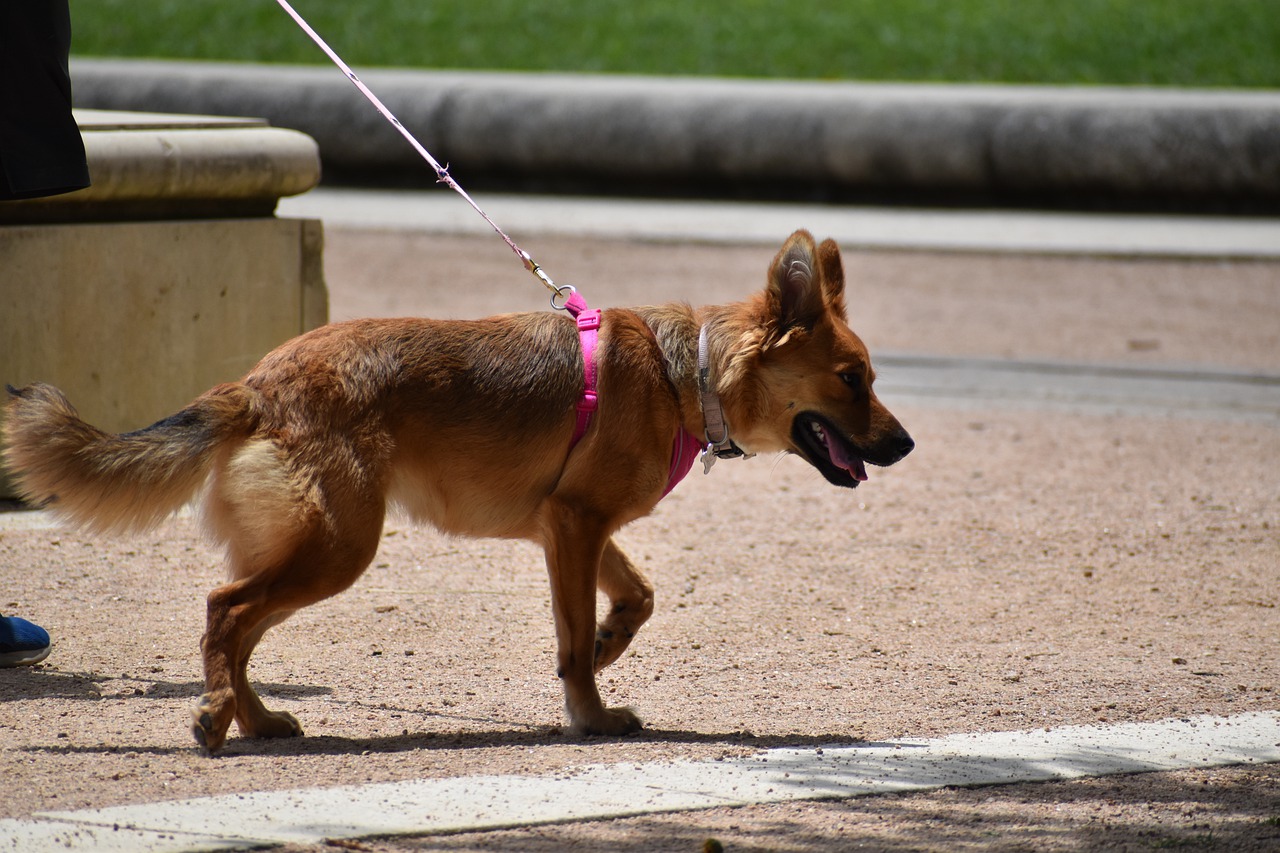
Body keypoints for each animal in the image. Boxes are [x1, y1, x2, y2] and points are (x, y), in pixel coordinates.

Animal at [7, 227, 911, 753]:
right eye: (852, 378)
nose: (903, 444)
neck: (679, 369)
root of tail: (259, 383)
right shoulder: (576, 527)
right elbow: (573, 641)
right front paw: (591, 713)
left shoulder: (570, 527)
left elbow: (638, 595)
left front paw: (612, 643)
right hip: (339, 547)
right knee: (226, 611)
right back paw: (220, 715)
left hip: (313, 548)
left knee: (238, 622)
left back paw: (255, 718)